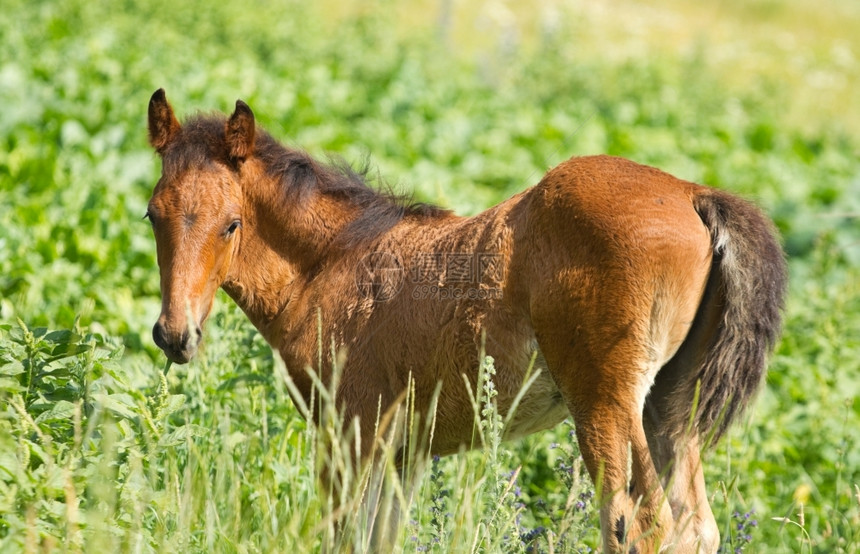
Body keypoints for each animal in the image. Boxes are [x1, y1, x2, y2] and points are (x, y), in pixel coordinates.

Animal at [146, 88, 788, 548]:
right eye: (153, 214)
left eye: (231, 224)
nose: (175, 335)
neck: (329, 264)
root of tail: (693, 194)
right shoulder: (402, 449)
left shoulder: (345, 433)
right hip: (670, 409)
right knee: (695, 526)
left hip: (606, 402)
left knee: (639, 522)